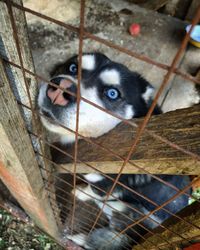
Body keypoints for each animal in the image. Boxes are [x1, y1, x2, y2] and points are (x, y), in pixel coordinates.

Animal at [37, 51, 191, 249]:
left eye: (112, 93)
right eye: (72, 67)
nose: (59, 89)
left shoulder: (104, 184)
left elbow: (94, 190)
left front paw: (81, 192)